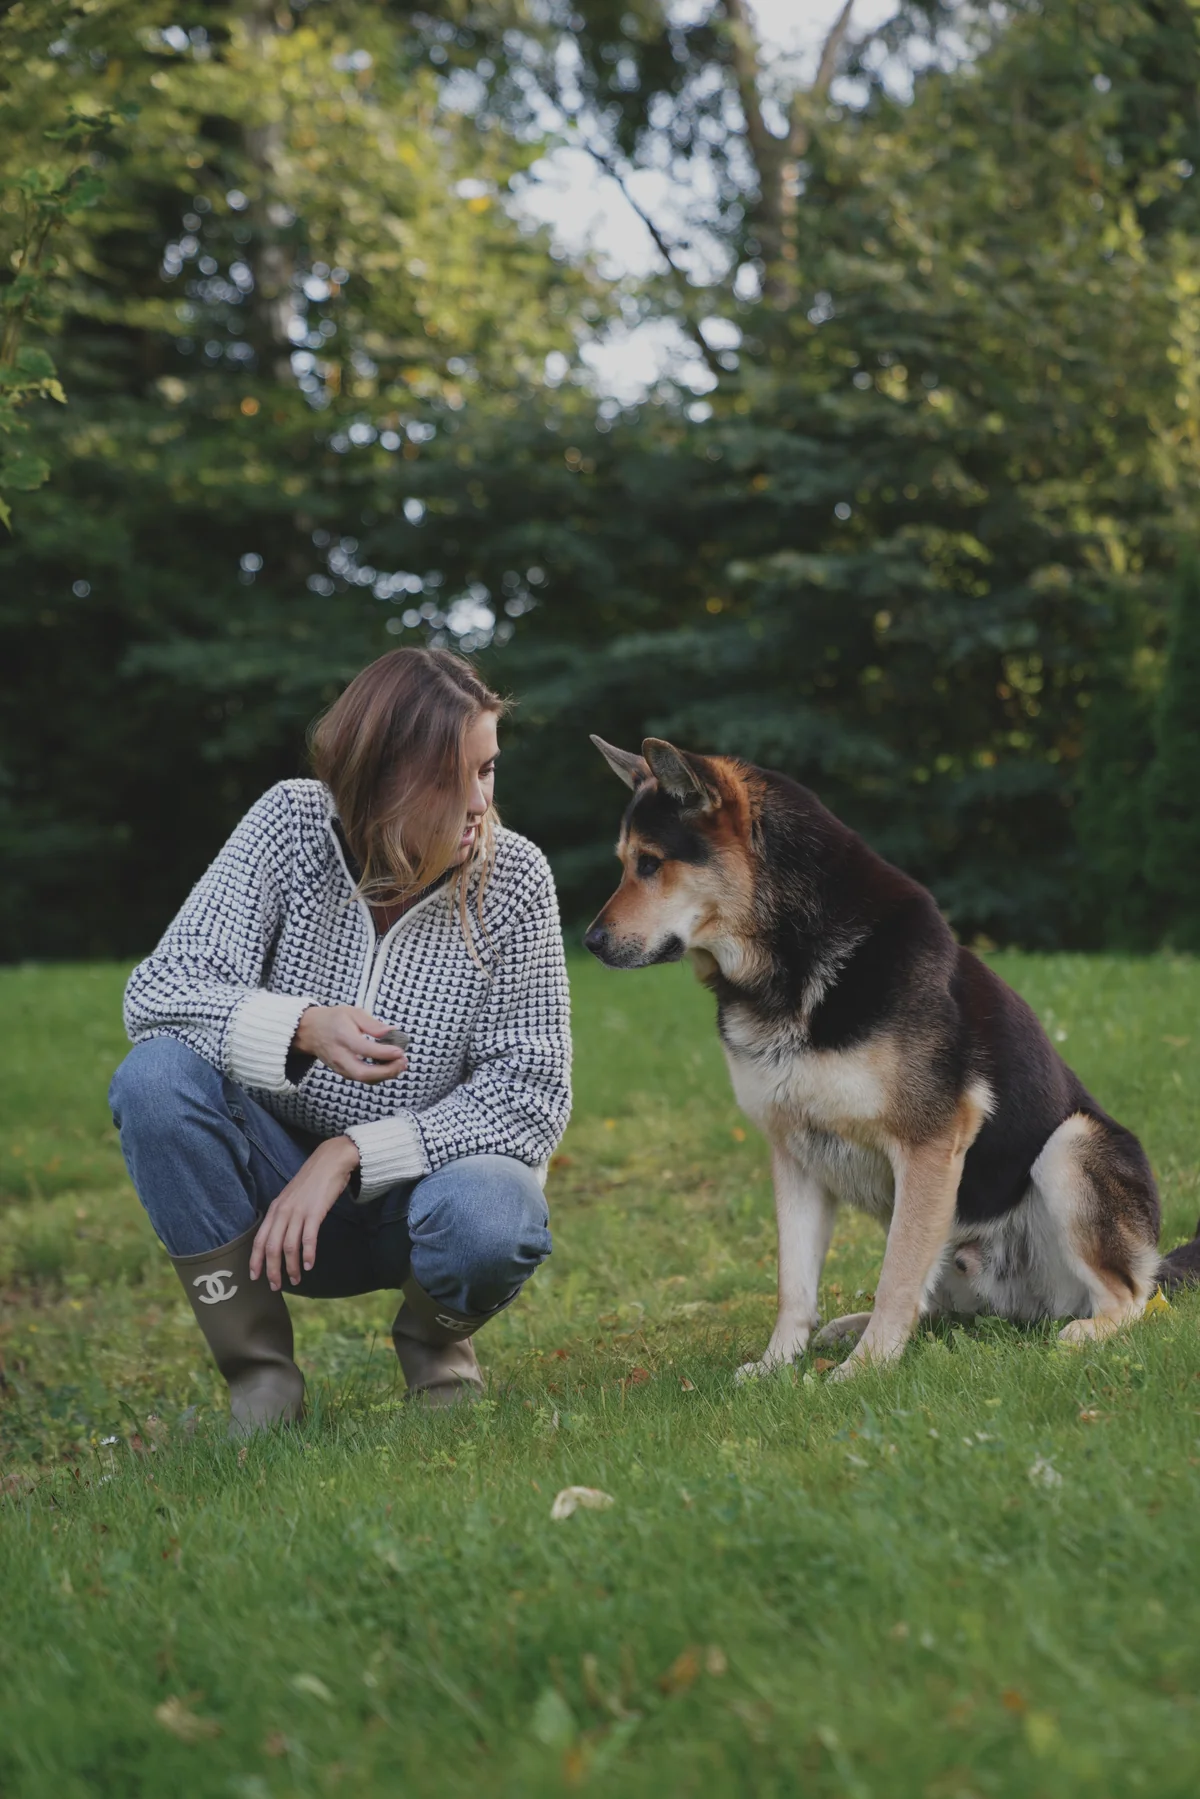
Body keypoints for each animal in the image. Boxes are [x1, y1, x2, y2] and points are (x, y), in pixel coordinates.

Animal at [582, 730, 1200, 1374]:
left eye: (651, 863)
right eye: (625, 864)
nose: (589, 943)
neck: (790, 958)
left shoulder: (927, 1144)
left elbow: (896, 1278)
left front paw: (865, 1372)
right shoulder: (794, 1156)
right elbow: (794, 1283)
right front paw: (778, 1366)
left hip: (1071, 1147)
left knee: (1129, 1295)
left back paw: (1087, 1330)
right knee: (940, 1306)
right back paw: (848, 1329)